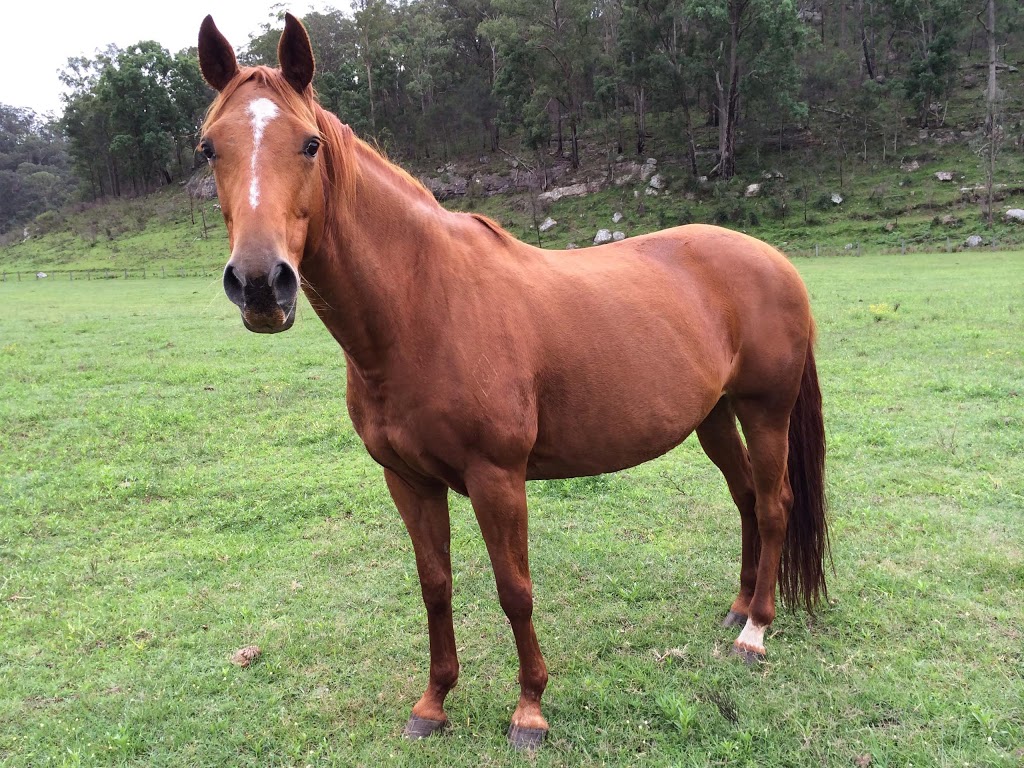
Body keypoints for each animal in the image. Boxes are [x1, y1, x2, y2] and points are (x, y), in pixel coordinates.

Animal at [195, 13, 827, 753]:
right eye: (209, 148)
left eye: (310, 144)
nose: (260, 284)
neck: (423, 307)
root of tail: (774, 260)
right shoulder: (408, 480)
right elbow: (434, 585)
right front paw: (434, 702)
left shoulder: (497, 478)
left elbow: (513, 589)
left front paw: (530, 710)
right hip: (714, 417)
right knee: (747, 500)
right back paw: (737, 608)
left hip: (765, 411)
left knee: (776, 503)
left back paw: (756, 632)